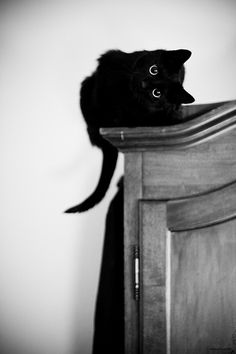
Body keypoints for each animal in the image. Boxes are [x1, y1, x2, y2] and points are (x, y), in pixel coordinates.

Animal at [64, 48, 194, 212]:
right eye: (154, 70)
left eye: (157, 93)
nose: (144, 83)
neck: (127, 95)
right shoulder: (108, 63)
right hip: (86, 86)